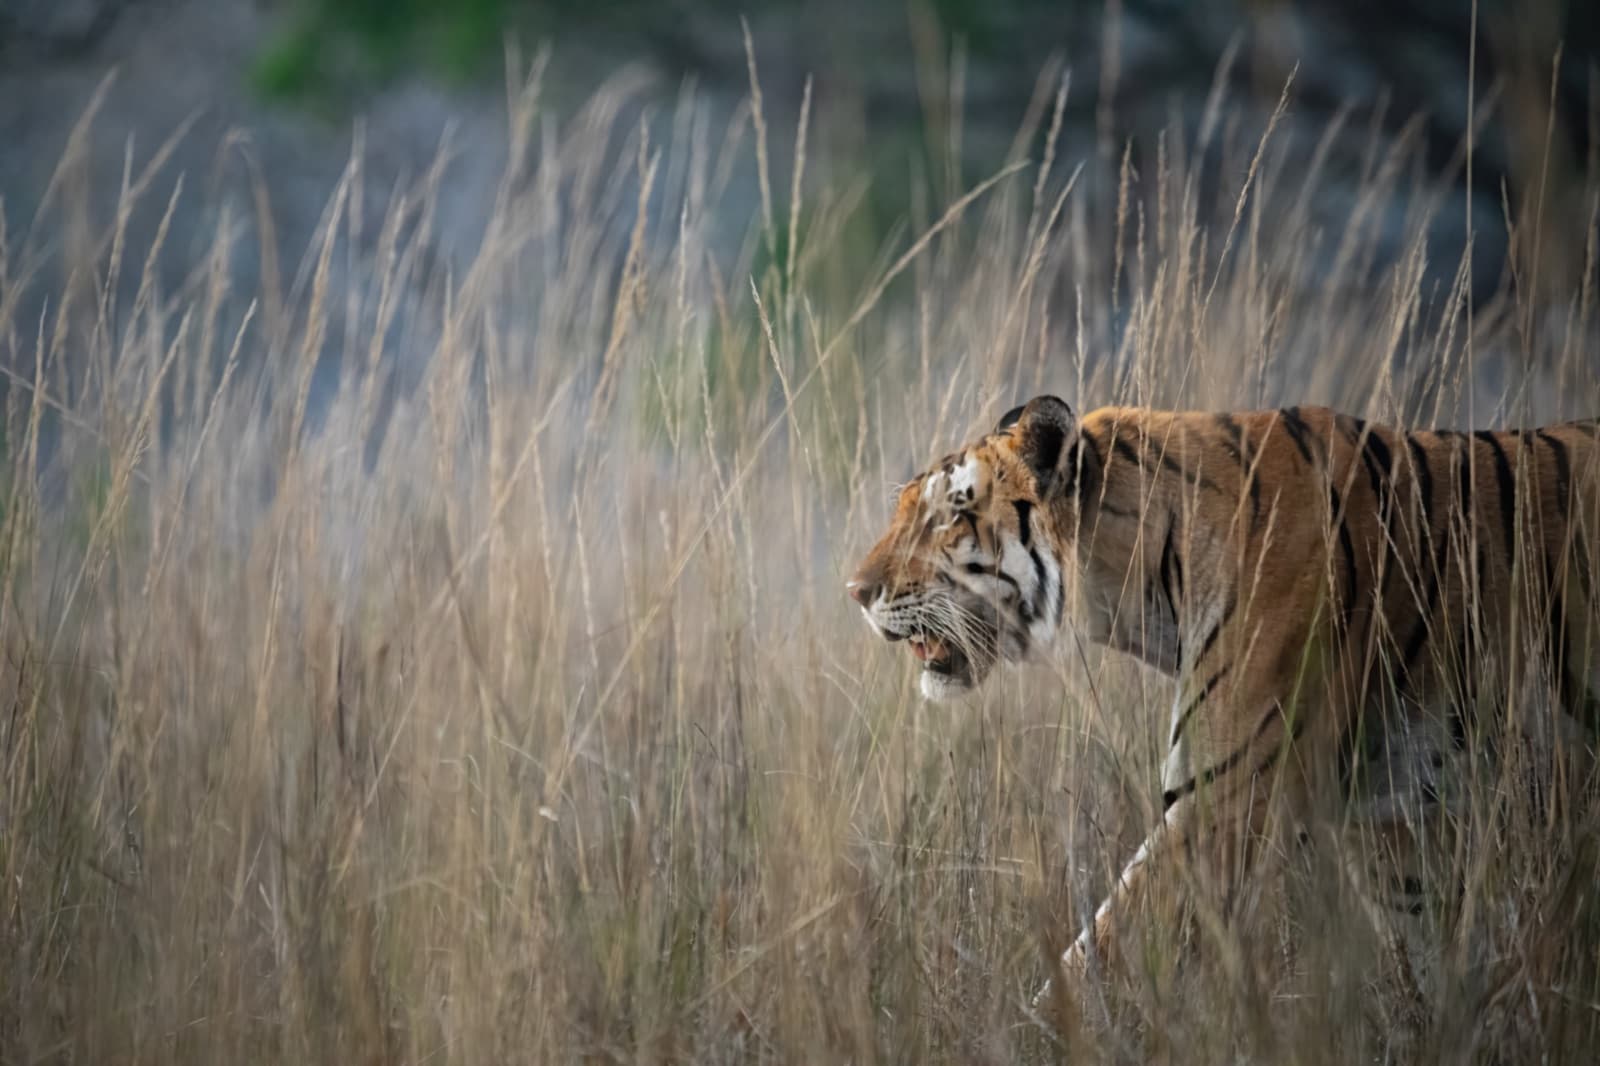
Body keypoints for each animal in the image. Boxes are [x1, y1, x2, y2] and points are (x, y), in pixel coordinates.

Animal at [845, 395, 1600, 1003]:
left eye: (945, 519)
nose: (855, 591)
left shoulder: (1224, 798)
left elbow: (1098, 953)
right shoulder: (1397, 822)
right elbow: (1433, 953)